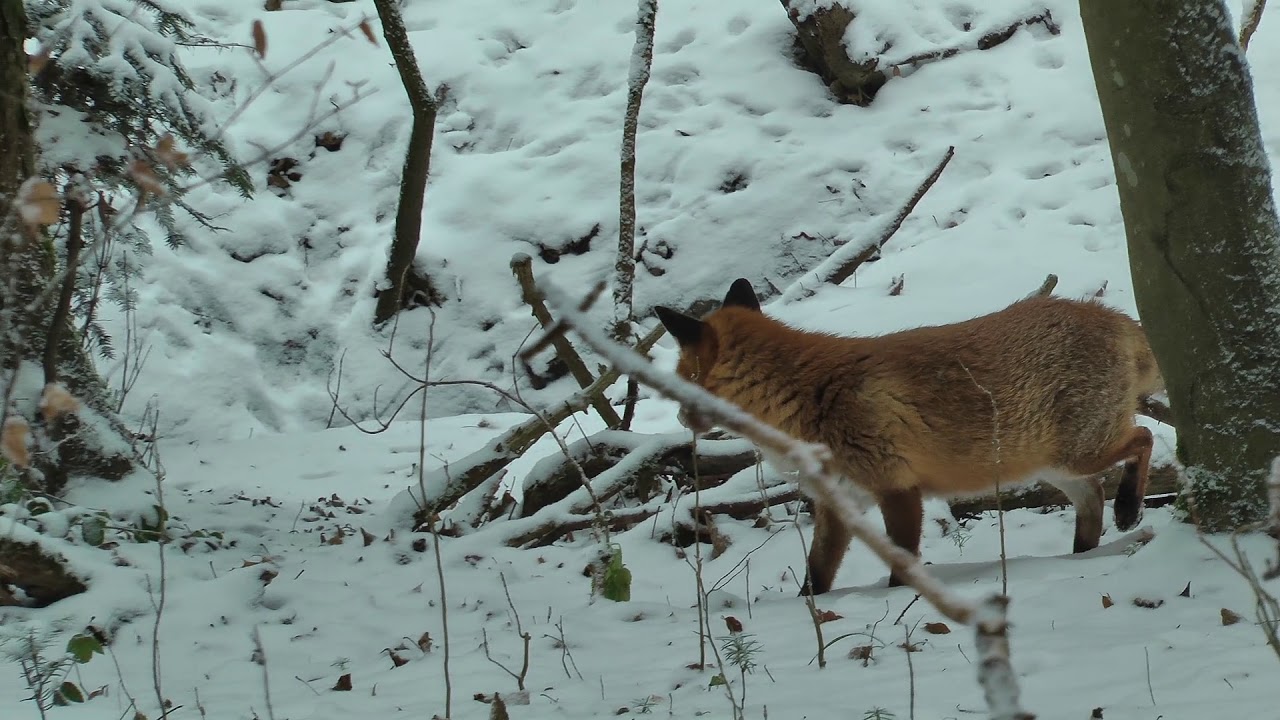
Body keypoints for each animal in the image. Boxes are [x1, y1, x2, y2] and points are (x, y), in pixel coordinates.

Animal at [654, 278, 1163, 596]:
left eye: (681, 376)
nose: (678, 416)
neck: (804, 397)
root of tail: (1116, 316)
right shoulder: (839, 501)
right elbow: (817, 577)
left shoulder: (897, 487)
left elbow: (903, 563)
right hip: (1054, 464)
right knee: (1092, 497)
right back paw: (1080, 558)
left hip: (1080, 450)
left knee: (1143, 438)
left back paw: (1129, 508)